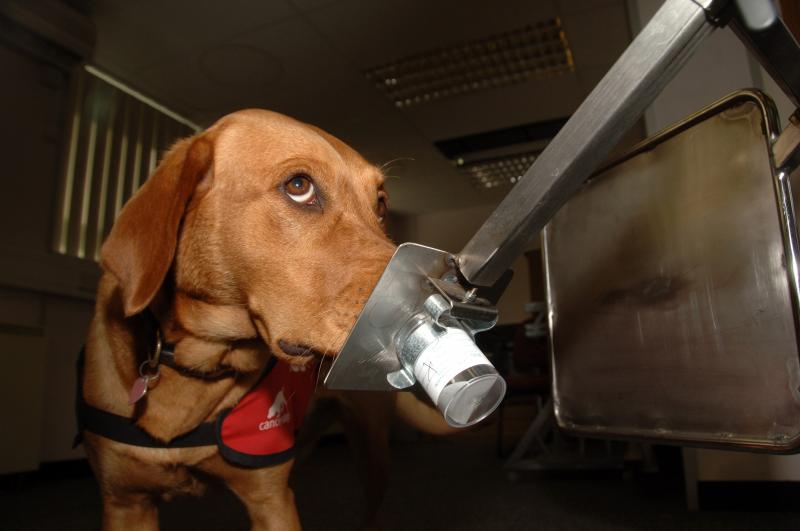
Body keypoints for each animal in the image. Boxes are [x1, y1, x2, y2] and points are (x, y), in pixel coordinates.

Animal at [78, 108, 451, 530]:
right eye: (299, 186)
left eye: (382, 205)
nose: (447, 301)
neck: (197, 365)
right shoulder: (126, 503)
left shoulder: (271, 500)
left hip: (371, 449)